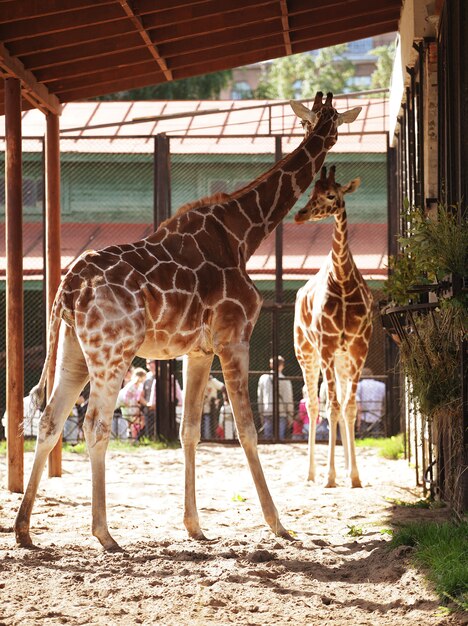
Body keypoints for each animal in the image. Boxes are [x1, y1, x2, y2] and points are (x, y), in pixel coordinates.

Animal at [12, 94, 360, 552]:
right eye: (330, 123)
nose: (328, 138)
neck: (243, 233)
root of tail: (67, 290)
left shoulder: (197, 351)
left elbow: (189, 431)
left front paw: (195, 526)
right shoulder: (235, 338)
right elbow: (247, 429)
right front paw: (279, 525)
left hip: (75, 352)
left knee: (50, 421)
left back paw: (24, 529)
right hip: (111, 352)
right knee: (94, 424)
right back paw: (105, 534)